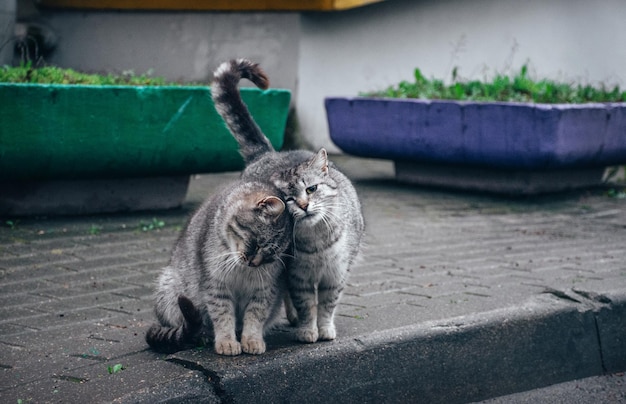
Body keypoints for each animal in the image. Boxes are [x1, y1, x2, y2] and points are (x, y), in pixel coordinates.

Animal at [145, 180, 292, 354]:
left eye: (269, 258)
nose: (253, 264)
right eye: (257, 246)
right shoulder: (215, 285)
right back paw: (203, 335)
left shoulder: (264, 290)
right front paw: (227, 342)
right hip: (169, 290)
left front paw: (252, 340)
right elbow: (223, 315)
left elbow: (255, 316)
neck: (242, 269)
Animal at [212, 59, 364, 344]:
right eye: (290, 198)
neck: (317, 243)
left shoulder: (335, 274)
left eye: (311, 189)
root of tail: (267, 153)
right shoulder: (297, 276)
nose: (304, 205)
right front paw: (307, 330)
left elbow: (327, 305)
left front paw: (325, 328)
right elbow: (306, 304)